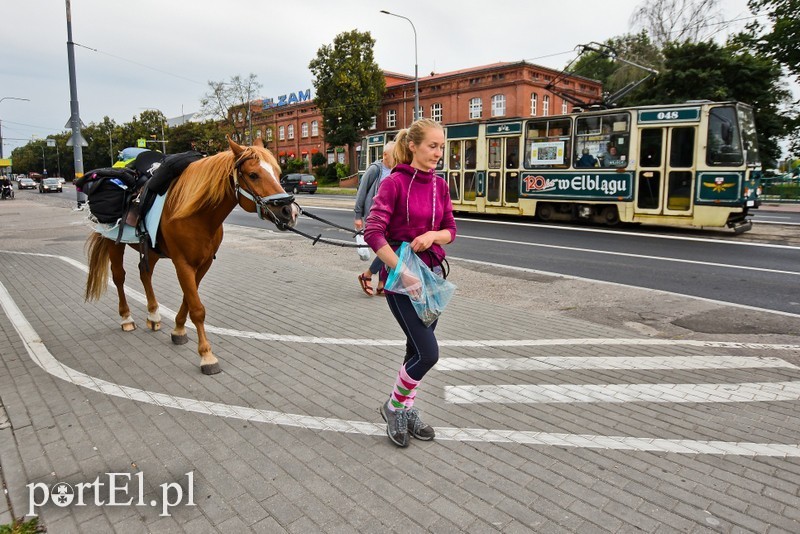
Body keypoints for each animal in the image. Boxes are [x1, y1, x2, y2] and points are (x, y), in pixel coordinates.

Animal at [84, 138, 298, 376]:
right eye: (253, 175)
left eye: (279, 173)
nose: (289, 211)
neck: (196, 212)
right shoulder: (182, 263)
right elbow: (197, 309)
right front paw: (206, 355)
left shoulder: (202, 264)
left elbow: (189, 299)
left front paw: (178, 330)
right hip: (114, 244)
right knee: (119, 277)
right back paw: (126, 318)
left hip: (152, 250)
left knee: (144, 273)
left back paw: (153, 315)